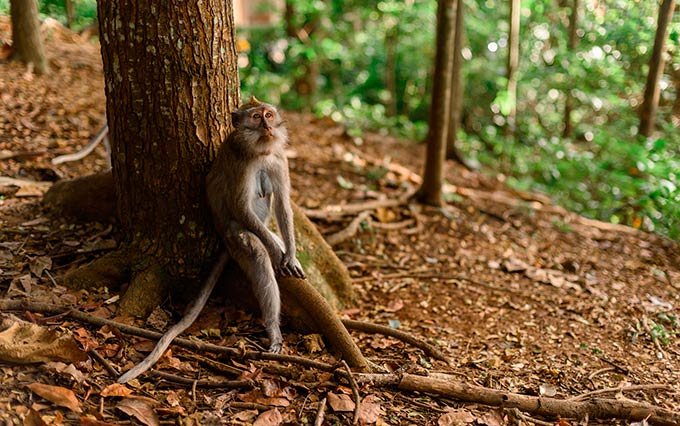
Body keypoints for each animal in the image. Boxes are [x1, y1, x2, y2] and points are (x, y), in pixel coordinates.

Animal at [118, 98, 304, 384]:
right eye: (256, 117)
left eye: (269, 115)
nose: (268, 126)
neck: (261, 151)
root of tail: (224, 238)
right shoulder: (241, 162)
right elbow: (241, 208)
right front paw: (275, 252)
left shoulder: (279, 158)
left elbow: (283, 204)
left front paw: (290, 255)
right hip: (235, 236)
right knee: (258, 258)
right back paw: (273, 327)